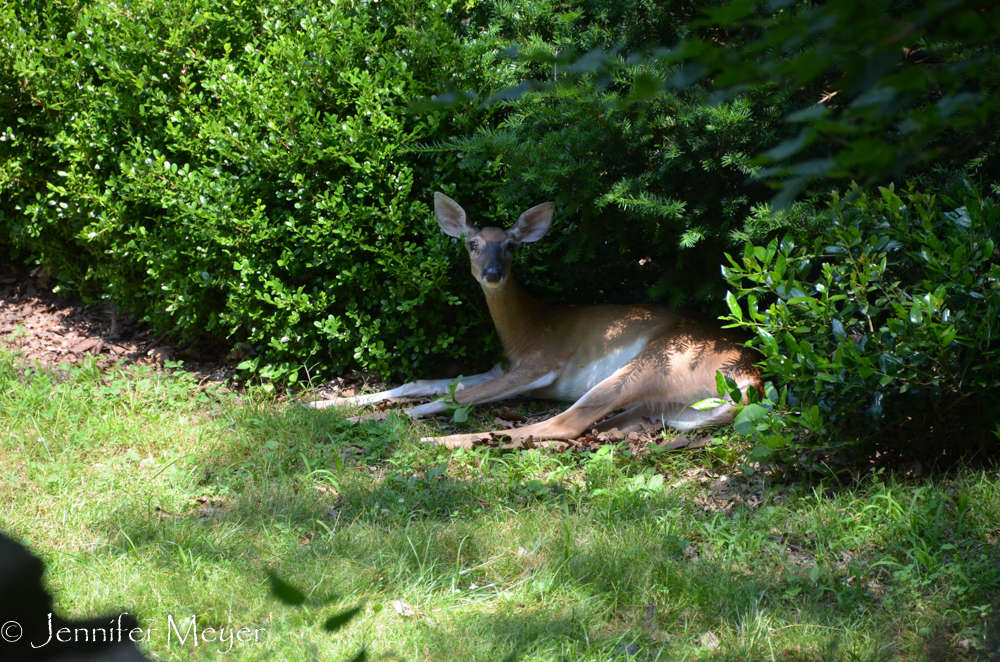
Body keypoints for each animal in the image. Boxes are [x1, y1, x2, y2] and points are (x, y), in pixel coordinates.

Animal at [308, 195, 760, 448]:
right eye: (472, 244)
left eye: (511, 246)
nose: (493, 273)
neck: (525, 329)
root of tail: (751, 380)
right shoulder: (504, 365)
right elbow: (421, 383)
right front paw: (320, 404)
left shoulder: (541, 364)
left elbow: (451, 398)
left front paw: (356, 418)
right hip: (666, 407)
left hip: (658, 362)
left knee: (562, 425)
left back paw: (442, 441)